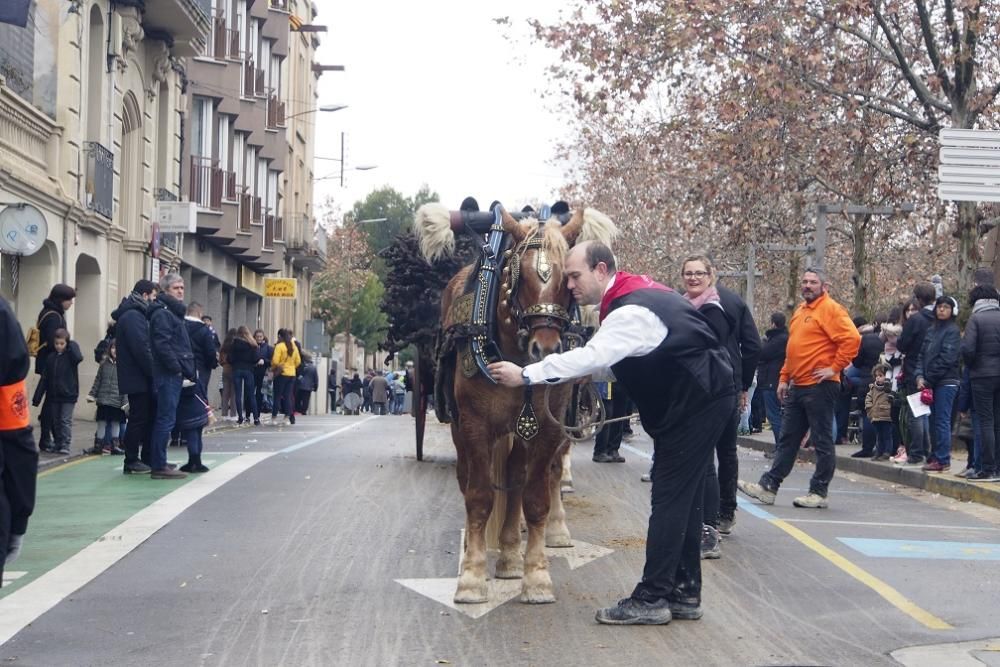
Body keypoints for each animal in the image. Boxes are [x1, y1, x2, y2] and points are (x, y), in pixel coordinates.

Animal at [416, 204, 616, 604]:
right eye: (518, 276)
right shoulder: (475, 425)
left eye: (568, 280)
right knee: (470, 479)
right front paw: (471, 576)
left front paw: (536, 575)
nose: (547, 349)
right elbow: (478, 496)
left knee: (515, 478)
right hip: (465, 427)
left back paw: (510, 555)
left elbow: (534, 496)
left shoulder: (549, 428)